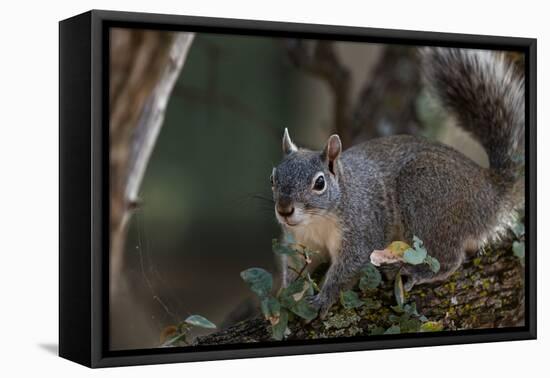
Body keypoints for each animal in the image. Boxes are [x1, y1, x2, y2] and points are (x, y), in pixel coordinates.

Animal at [272, 47, 528, 318]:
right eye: (273, 178)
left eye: (319, 183)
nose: (284, 210)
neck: (317, 220)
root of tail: (491, 192)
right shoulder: (300, 244)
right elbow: (295, 272)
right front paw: (285, 301)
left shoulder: (363, 229)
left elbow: (348, 268)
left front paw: (323, 298)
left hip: (425, 197)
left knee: (448, 260)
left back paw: (412, 270)